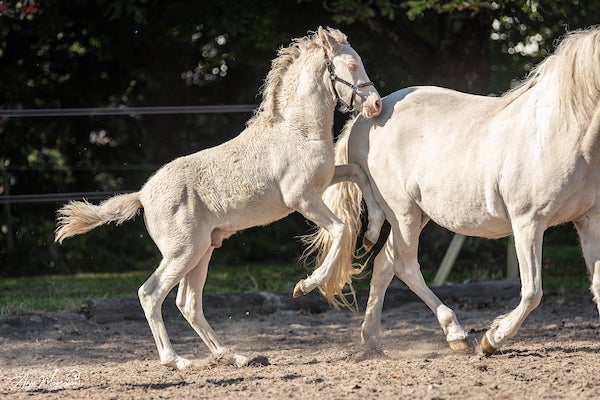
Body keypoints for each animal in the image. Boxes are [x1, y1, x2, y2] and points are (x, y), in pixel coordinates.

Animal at [57, 28, 384, 370]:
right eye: (351, 65)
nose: (375, 104)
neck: (297, 131)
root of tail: (143, 195)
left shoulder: (326, 179)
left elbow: (359, 173)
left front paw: (372, 235)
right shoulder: (302, 198)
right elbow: (341, 229)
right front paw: (306, 285)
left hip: (202, 251)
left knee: (187, 303)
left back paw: (232, 356)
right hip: (184, 251)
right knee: (151, 293)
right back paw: (176, 360)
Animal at [304, 28, 600, 356]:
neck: (559, 131)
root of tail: (364, 118)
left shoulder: (588, 220)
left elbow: (596, 286)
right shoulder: (528, 223)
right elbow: (533, 291)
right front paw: (492, 339)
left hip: (416, 216)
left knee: (384, 264)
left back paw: (372, 340)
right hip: (403, 213)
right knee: (405, 266)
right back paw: (456, 334)